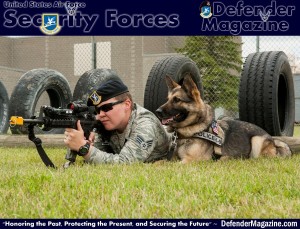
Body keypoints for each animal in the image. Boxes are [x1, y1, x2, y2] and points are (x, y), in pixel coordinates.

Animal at [156, 74, 292, 163]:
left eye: (177, 100)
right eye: (167, 99)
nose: (157, 112)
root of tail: (273, 140)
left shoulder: (190, 160)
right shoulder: (171, 158)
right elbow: (159, 162)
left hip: (256, 141)